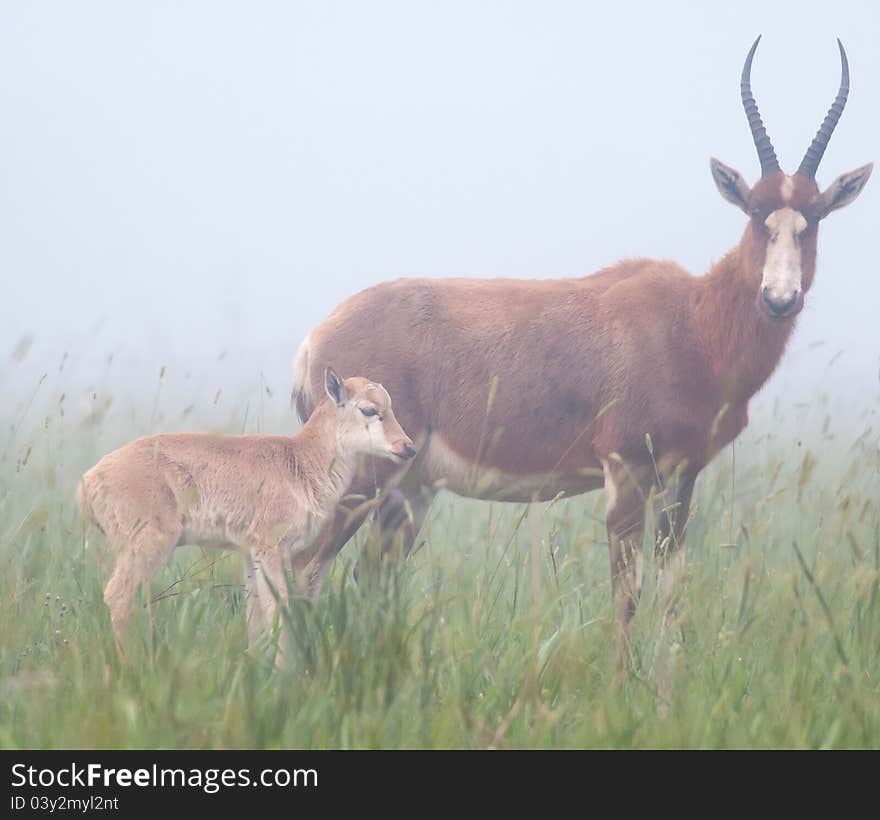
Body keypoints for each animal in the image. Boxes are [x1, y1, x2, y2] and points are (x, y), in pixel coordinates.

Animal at [77, 372, 414, 652]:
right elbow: (278, 611)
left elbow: (254, 619)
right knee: (119, 597)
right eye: (369, 409)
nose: (407, 447)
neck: (300, 460)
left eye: (390, 405)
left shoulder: (251, 556)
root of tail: (89, 479)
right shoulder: (271, 551)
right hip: (148, 546)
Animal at [290, 40, 872, 660]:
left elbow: (671, 592)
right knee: (306, 568)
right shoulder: (626, 470)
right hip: (361, 484)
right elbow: (627, 592)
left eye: (813, 218)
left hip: (409, 491)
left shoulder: (680, 479)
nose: (779, 299)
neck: (690, 320)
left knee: (369, 578)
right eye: (757, 213)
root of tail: (316, 340)